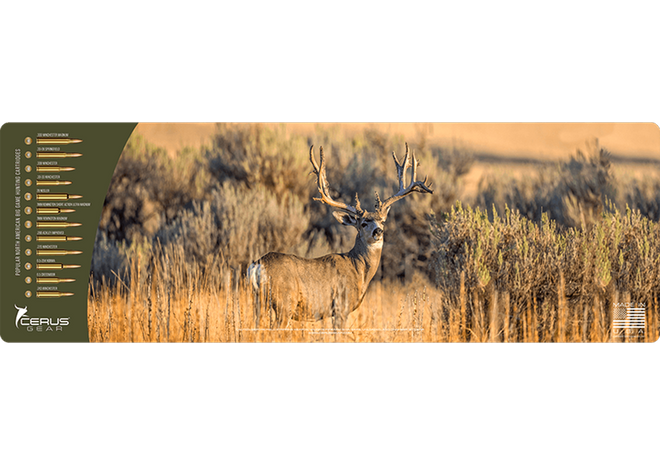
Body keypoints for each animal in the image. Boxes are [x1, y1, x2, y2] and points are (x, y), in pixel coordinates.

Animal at [247, 142, 433, 328]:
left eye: (382, 222)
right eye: (363, 223)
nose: (378, 232)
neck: (358, 269)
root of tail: (257, 266)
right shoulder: (341, 306)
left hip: (258, 302)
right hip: (284, 303)